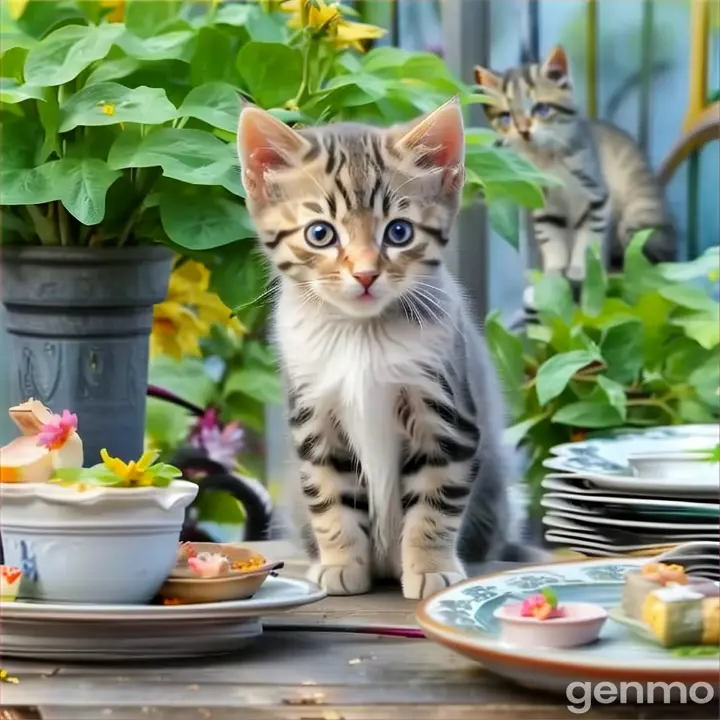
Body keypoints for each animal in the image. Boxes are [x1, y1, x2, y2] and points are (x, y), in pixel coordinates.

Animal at [236, 97, 540, 600]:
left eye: (399, 232)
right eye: (320, 234)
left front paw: (430, 567)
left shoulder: (446, 414)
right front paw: (341, 563)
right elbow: (330, 496)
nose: (364, 274)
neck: (361, 337)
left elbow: (436, 500)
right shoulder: (314, 417)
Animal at [476, 43, 676, 286]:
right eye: (507, 116)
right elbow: (552, 240)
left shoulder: (597, 198)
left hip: (640, 214)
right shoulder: (545, 205)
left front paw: (581, 269)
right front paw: (554, 272)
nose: (524, 132)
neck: (548, 161)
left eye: (541, 109)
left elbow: (589, 238)